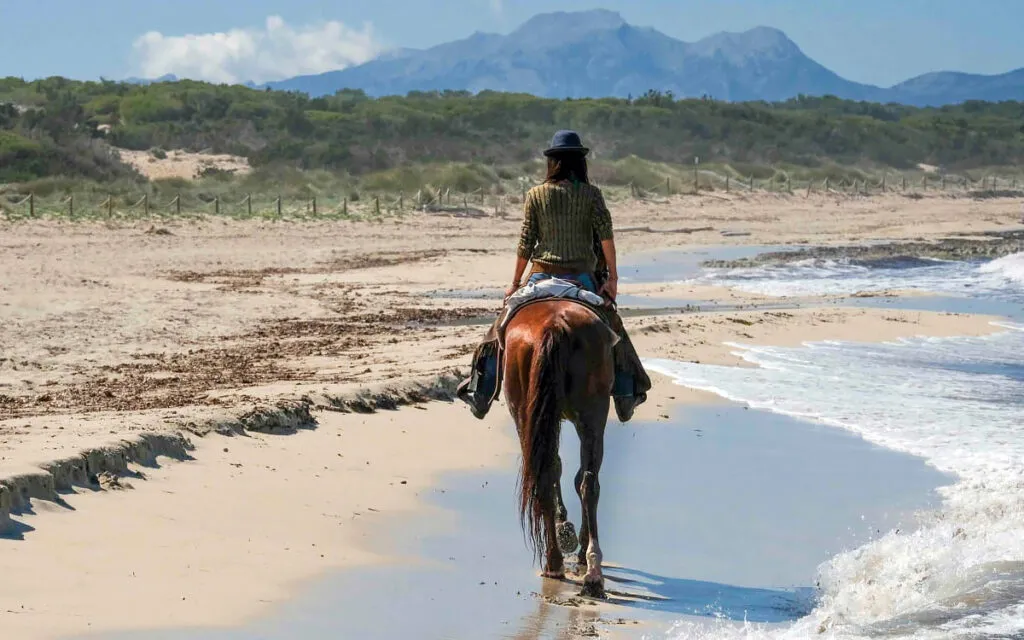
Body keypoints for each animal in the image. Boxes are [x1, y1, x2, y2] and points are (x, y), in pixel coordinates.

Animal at [501, 298, 618, 598]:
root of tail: (554, 326)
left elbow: (556, 469)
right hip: (591, 413)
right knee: (588, 482)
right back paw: (589, 570)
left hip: (527, 413)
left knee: (550, 479)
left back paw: (558, 563)